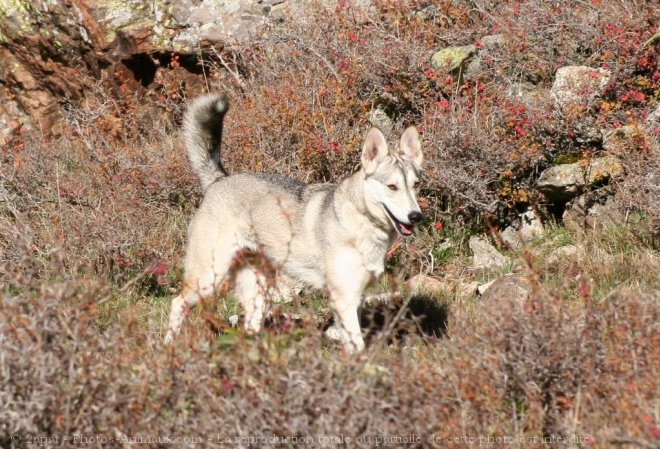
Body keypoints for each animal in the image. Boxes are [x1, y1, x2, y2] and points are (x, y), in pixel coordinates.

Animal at [165, 94, 422, 352]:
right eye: (392, 187)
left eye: (415, 185)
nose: (415, 216)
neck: (362, 220)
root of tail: (219, 180)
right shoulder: (345, 299)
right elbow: (357, 345)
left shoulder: (354, 298)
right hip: (208, 280)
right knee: (177, 304)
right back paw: (168, 346)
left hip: (258, 295)